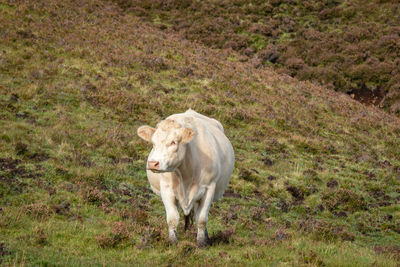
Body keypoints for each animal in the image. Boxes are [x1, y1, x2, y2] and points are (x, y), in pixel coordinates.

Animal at [138, 109, 234, 247]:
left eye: (173, 142)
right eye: (153, 143)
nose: (152, 163)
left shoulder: (209, 188)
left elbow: (202, 219)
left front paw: (201, 243)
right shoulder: (166, 189)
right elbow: (172, 218)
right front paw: (172, 241)